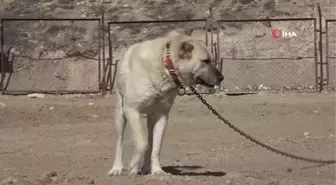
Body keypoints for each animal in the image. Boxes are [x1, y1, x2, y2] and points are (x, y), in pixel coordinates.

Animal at [107, 29, 223, 176]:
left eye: (211, 60)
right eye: (205, 61)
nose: (222, 78)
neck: (166, 65)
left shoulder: (162, 115)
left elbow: (156, 146)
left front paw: (157, 170)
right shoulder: (132, 110)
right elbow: (141, 143)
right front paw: (132, 165)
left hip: (151, 119)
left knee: (150, 141)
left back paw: (146, 168)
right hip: (121, 114)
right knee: (120, 142)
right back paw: (117, 168)